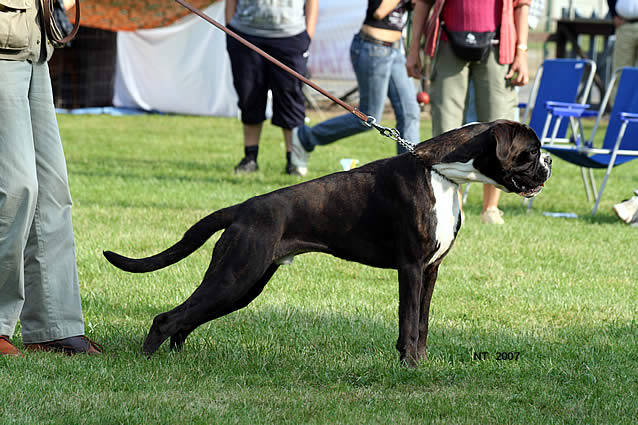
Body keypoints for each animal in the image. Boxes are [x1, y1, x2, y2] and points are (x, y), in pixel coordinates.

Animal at [104, 118, 552, 364]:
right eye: (531, 151)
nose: (549, 161)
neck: (440, 172)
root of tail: (243, 207)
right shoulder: (410, 268)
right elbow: (408, 322)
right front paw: (409, 365)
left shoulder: (431, 270)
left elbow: (423, 322)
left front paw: (422, 363)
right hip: (235, 276)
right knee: (167, 318)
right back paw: (146, 362)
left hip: (243, 285)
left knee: (186, 319)